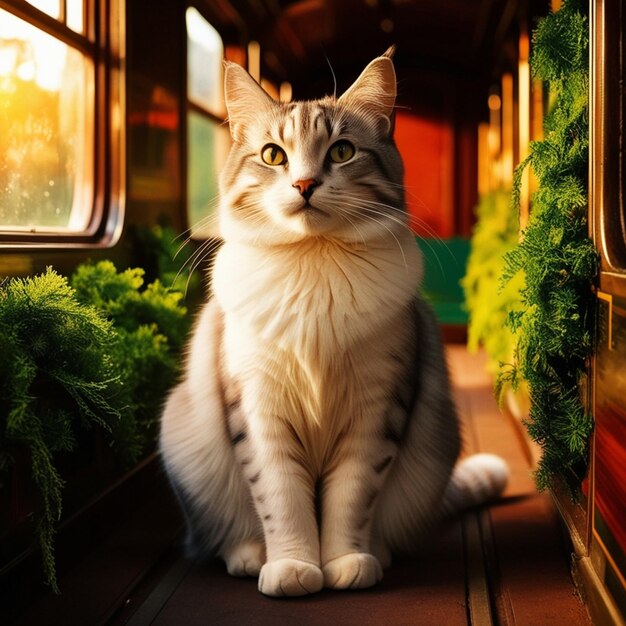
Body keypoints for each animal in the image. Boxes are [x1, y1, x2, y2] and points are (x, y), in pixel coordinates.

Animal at [161, 47, 508, 596]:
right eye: (273, 156)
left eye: (342, 152)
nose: (305, 185)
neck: (314, 261)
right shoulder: (258, 408)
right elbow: (282, 499)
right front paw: (293, 566)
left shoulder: (376, 409)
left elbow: (351, 497)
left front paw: (345, 561)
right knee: (220, 537)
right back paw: (249, 556)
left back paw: (377, 552)